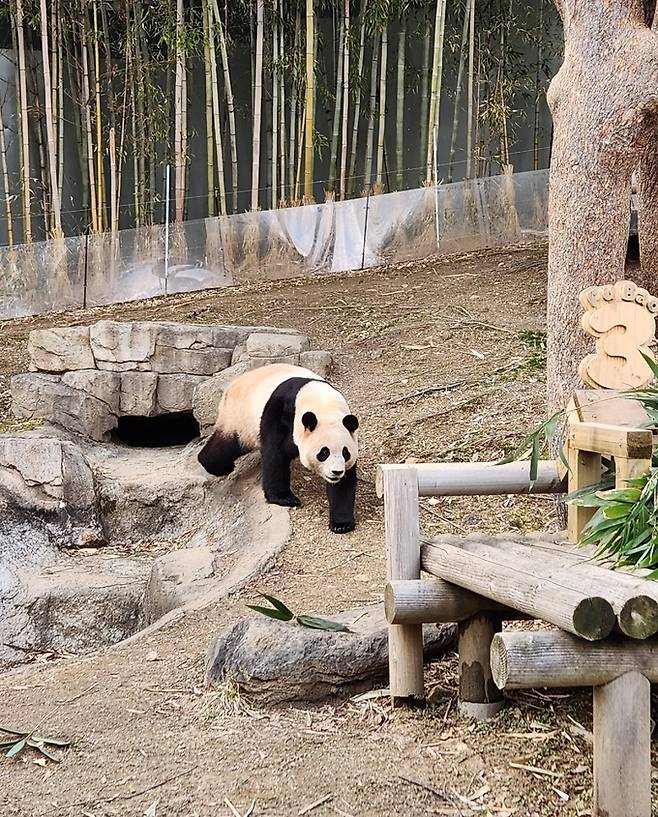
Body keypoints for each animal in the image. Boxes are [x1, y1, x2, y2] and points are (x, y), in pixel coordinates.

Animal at [197, 362, 358, 528]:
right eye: (324, 453)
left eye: (345, 453)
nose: (336, 472)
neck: (322, 403)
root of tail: (232, 385)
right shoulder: (281, 412)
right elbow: (276, 455)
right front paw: (284, 498)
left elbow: (345, 481)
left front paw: (341, 523)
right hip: (240, 417)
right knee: (227, 445)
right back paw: (218, 466)